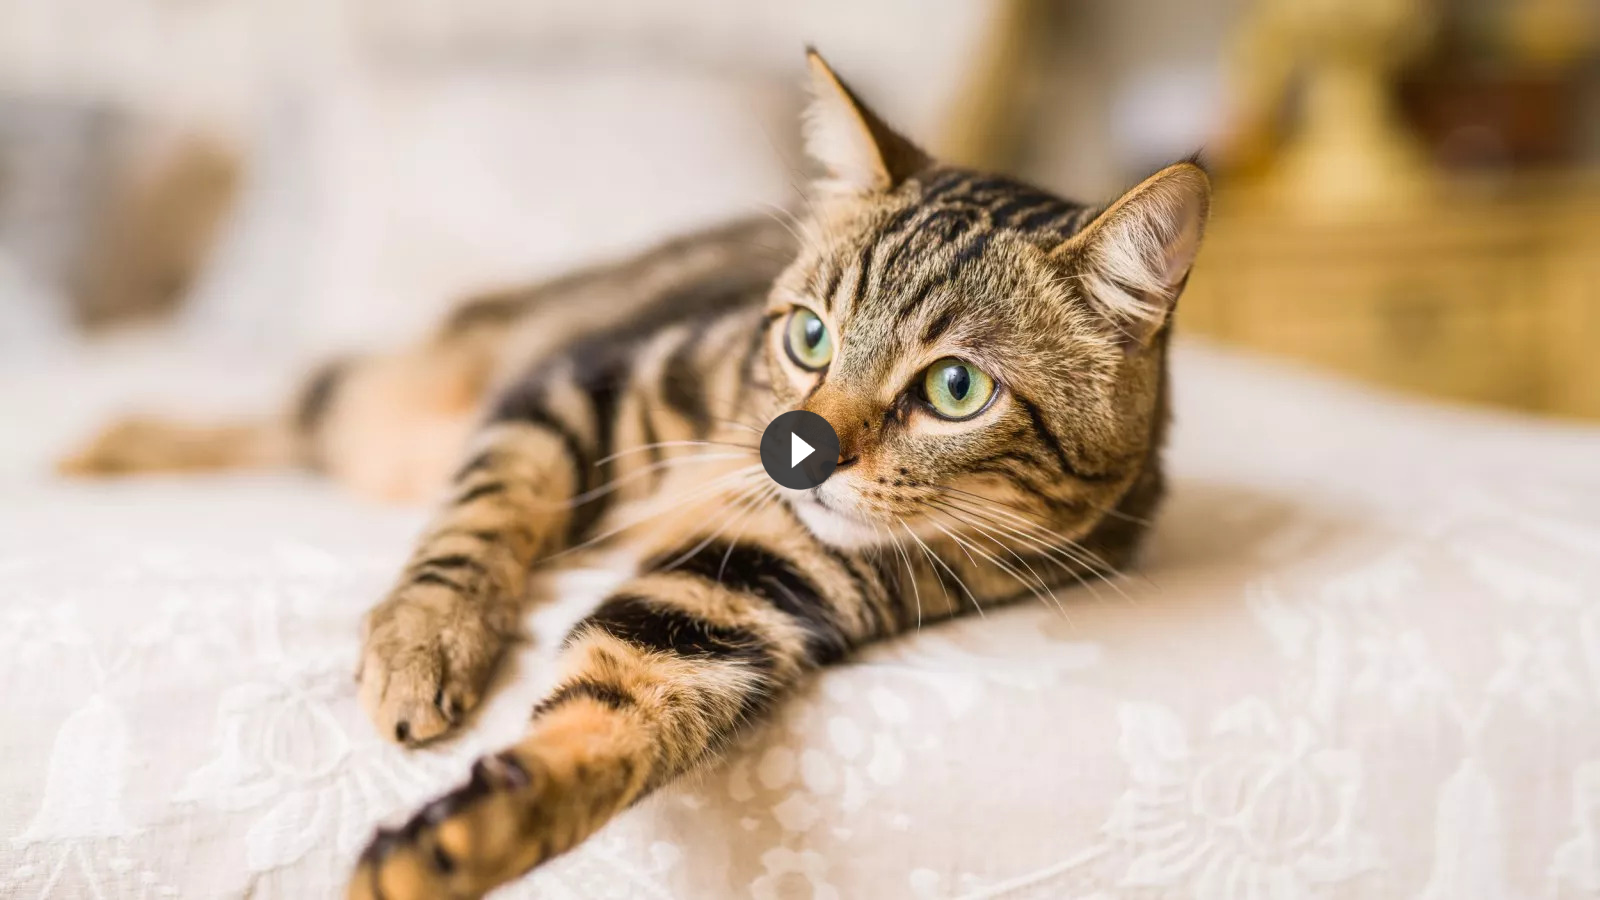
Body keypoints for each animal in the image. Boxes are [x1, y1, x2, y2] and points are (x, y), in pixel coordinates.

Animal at [65, 50, 1209, 896]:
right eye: (808, 334)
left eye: (957, 389)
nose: (799, 451)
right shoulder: (577, 391)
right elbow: (480, 520)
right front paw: (425, 641)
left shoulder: (740, 591)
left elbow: (613, 709)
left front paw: (465, 837)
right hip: (418, 387)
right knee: (303, 410)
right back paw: (111, 447)